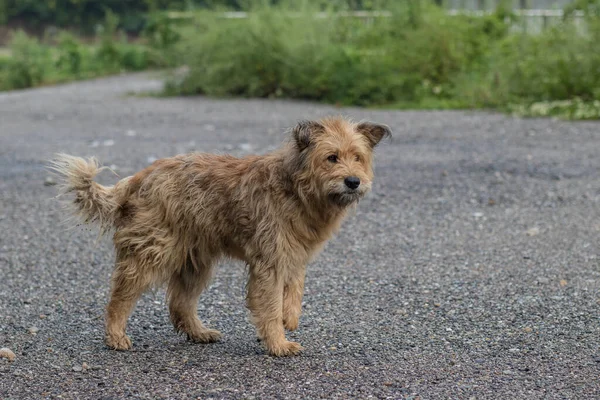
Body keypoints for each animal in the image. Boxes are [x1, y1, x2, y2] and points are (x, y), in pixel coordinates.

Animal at [50, 116, 390, 356]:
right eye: (332, 157)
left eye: (357, 157)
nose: (353, 181)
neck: (296, 189)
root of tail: (136, 179)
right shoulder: (269, 261)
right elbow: (269, 305)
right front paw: (278, 343)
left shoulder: (293, 255)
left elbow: (293, 291)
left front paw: (289, 319)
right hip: (151, 251)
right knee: (121, 295)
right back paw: (116, 335)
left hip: (194, 260)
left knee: (180, 303)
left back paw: (199, 332)